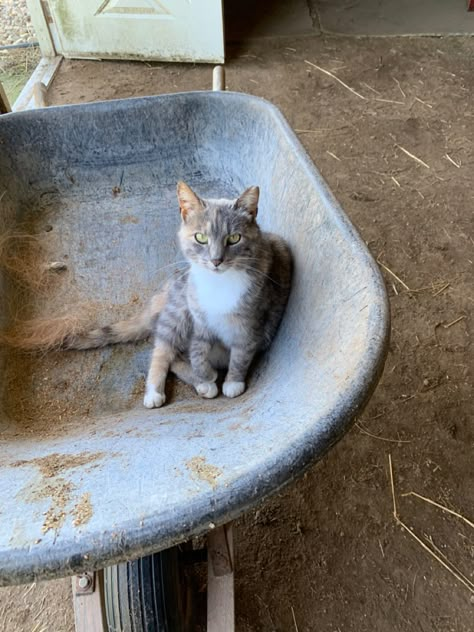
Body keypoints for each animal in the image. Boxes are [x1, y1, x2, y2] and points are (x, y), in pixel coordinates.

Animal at [26, 183, 292, 410]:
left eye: (234, 238)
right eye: (201, 238)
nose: (216, 260)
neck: (219, 283)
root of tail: (160, 298)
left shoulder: (251, 324)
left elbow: (240, 354)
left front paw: (233, 381)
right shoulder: (198, 320)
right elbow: (196, 353)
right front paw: (204, 377)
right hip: (177, 310)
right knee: (163, 349)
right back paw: (164, 389)